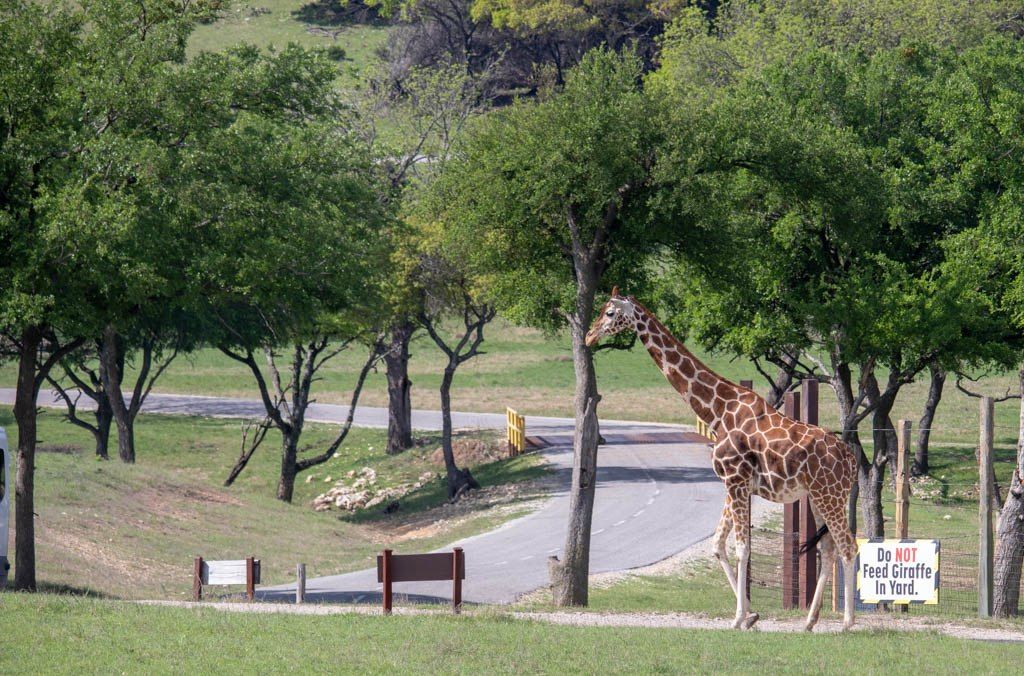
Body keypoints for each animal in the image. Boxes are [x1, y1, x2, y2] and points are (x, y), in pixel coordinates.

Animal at [585, 288, 858, 631]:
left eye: (609, 313)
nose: (588, 336)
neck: (716, 411)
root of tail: (852, 459)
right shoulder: (732, 484)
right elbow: (718, 545)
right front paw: (751, 614)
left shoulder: (736, 480)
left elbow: (742, 548)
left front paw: (739, 618)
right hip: (817, 496)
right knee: (829, 547)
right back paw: (809, 622)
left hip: (830, 494)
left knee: (848, 546)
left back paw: (847, 623)